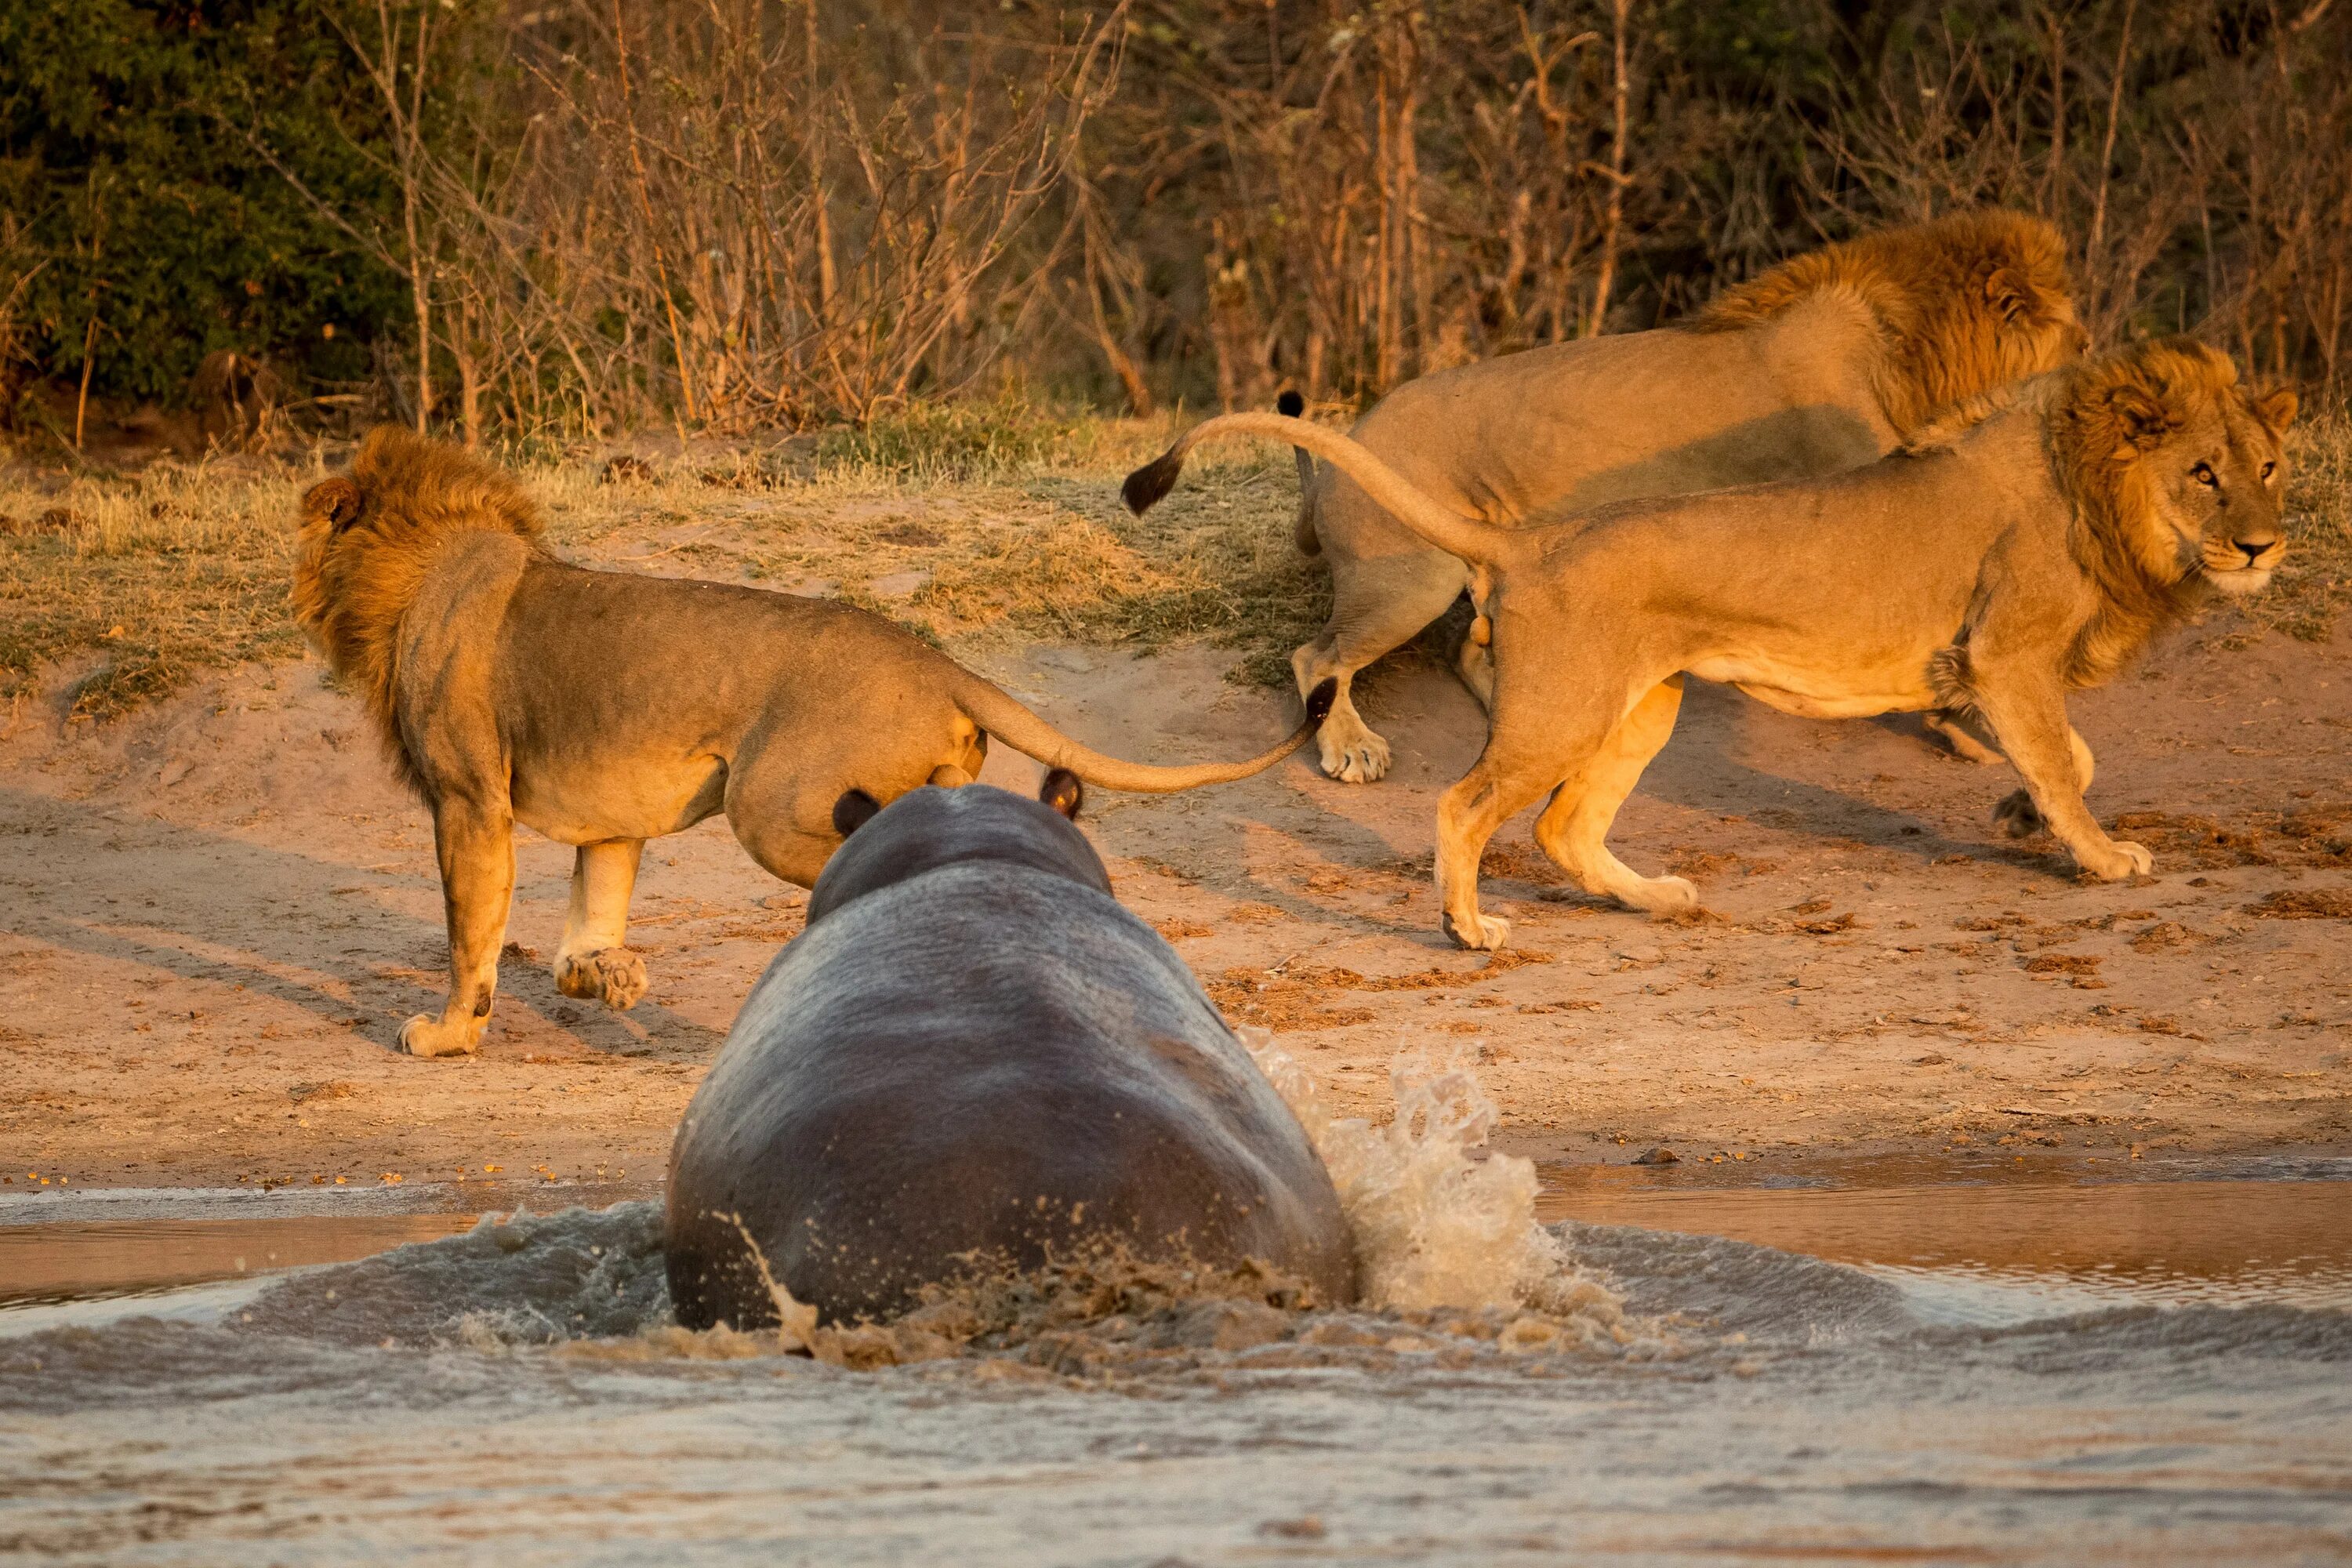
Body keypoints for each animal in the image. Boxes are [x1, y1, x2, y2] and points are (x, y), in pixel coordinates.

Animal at [292, 425, 1327, 1053]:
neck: (419, 566)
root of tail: (935, 658)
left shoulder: (468, 799)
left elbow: (471, 934)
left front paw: (445, 1033)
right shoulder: (611, 820)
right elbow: (584, 921)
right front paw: (610, 977)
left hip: (768, 802)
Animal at [1129, 338, 2286, 949]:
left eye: (2267, 464)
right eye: (2204, 474)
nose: (2265, 545)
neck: (2085, 479)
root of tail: (1532, 537)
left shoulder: (1985, 667)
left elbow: (2065, 756)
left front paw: (2019, 814)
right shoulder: (2006, 653)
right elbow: (2060, 753)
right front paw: (2099, 855)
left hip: (1643, 707)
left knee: (1563, 828)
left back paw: (1657, 897)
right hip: (1553, 701)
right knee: (1462, 800)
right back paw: (1468, 927)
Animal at [1261, 208, 2089, 785]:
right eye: (2079, 343)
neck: (1906, 352)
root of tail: (1342, 451)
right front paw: (1972, 729)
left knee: (1466, 649)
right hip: (1413, 578)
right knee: (1316, 655)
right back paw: (1353, 746)